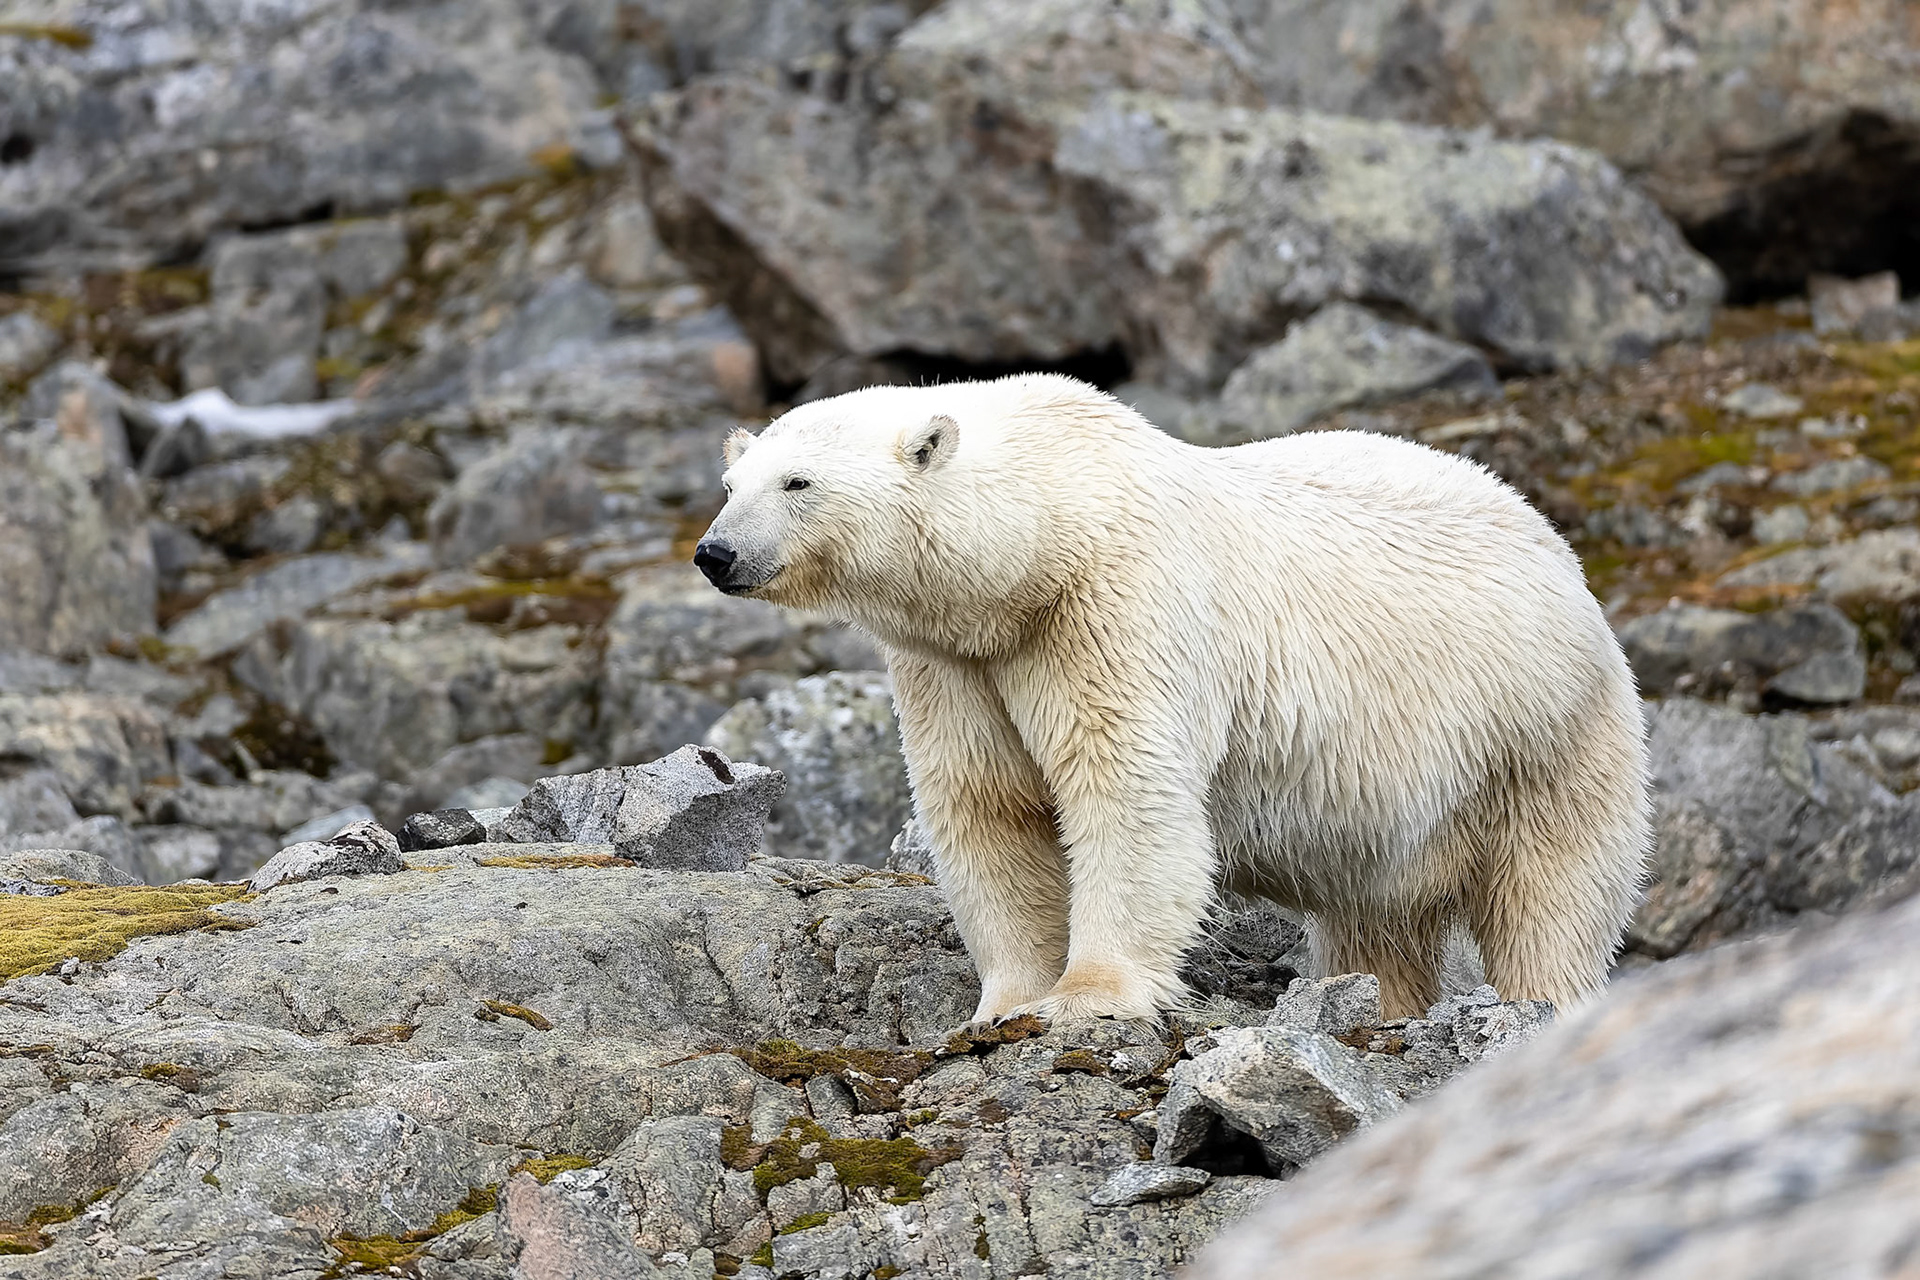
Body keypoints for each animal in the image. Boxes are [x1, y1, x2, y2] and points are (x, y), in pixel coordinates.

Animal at [694, 373, 1650, 1023]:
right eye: (732, 485)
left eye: (798, 482)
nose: (715, 553)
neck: (1040, 537)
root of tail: (1557, 549)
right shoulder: (959, 661)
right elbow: (988, 805)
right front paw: (1003, 1002)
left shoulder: (1114, 605)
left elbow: (1125, 788)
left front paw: (1089, 995)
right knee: (1375, 920)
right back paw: (1373, 998)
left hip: (1539, 729)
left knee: (1551, 895)